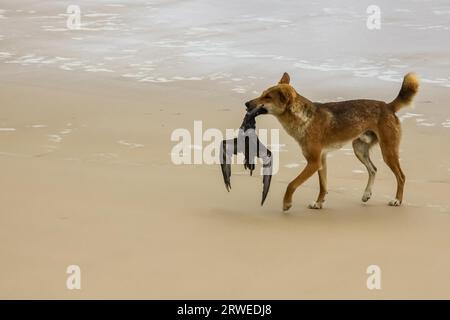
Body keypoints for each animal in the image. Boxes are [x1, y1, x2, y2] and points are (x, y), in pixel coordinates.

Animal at [246, 73, 418, 212]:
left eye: (267, 97)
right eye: (262, 94)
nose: (246, 103)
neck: (304, 118)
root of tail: (388, 106)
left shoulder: (314, 162)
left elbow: (292, 184)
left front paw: (287, 203)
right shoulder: (321, 160)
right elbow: (323, 186)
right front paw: (319, 203)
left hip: (388, 152)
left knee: (401, 176)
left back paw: (397, 200)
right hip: (359, 149)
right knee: (373, 169)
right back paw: (366, 194)